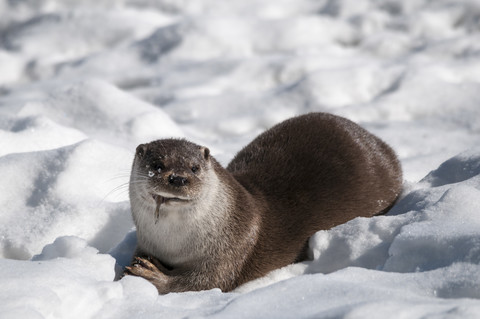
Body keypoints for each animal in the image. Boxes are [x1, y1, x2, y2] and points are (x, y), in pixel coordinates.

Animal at [124, 112, 402, 296]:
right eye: (157, 165)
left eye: (194, 168)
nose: (178, 178)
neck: (174, 245)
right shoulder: (145, 243)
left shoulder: (232, 249)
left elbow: (204, 283)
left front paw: (154, 274)